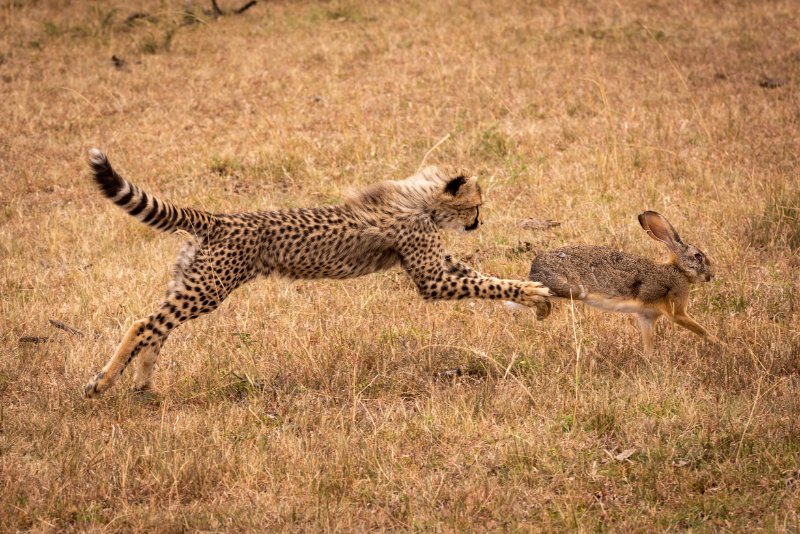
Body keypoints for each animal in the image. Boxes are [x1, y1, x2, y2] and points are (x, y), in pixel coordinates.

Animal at [86, 150, 552, 398]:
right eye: (476, 205)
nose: (477, 223)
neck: (422, 200)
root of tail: (221, 218)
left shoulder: (437, 264)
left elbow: (478, 273)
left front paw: (531, 294)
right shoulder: (431, 278)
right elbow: (483, 282)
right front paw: (531, 292)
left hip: (191, 282)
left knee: (155, 328)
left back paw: (144, 385)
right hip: (208, 288)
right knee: (142, 324)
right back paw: (103, 382)